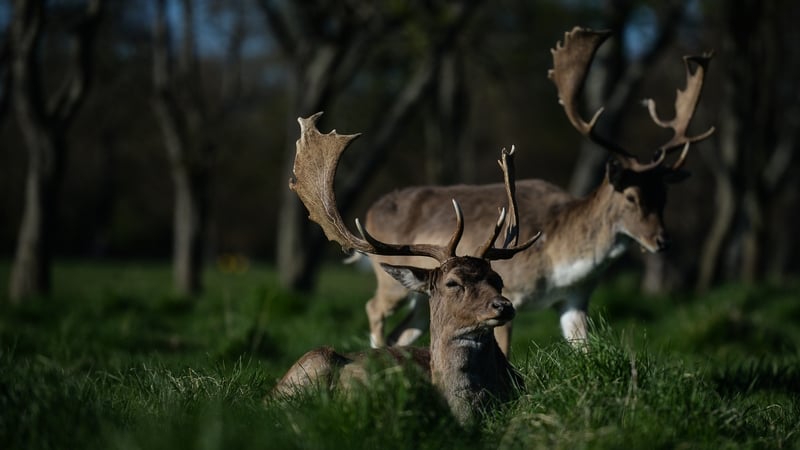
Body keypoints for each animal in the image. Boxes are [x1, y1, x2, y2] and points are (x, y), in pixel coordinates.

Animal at [357, 27, 715, 356]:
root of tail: (371, 209)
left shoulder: (575, 299)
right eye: (631, 196)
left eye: (664, 196)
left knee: (401, 334)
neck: (559, 262)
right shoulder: (511, 292)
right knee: (373, 309)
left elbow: (585, 349)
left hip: (423, 296)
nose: (662, 241)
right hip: (390, 279)